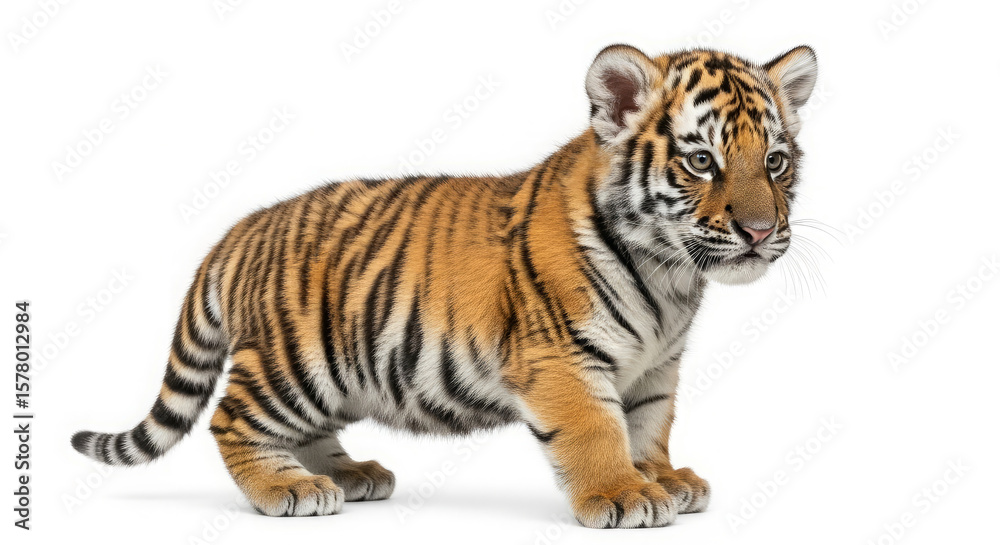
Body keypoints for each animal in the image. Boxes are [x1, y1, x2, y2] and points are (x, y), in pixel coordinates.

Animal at [71, 43, 818, 529]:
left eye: (776, 162)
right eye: (702, 161)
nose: (760, 231)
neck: (671, 276)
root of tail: (243, 226)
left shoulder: (657, 366)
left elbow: (648, 425)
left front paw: (663, 477)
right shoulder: (565, 357)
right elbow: (597, 430)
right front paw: (623, 494)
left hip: (334, 374)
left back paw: (346, 474)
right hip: (295, 360)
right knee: (232, 418)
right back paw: (286, 489)